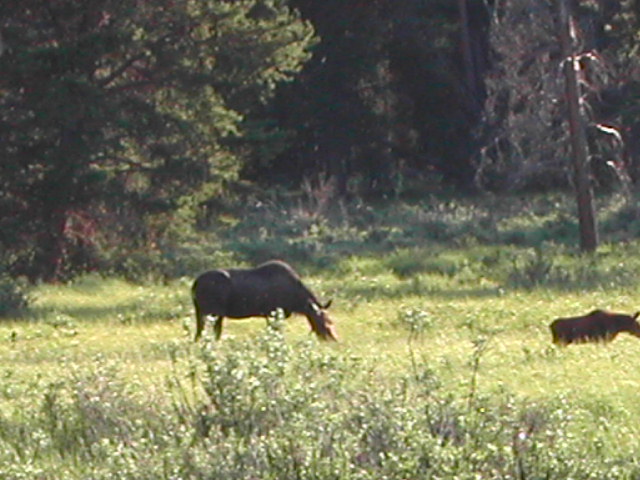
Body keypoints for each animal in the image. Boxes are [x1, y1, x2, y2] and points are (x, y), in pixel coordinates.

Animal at [191, 262, 338, 342]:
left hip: (201, 310)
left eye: (331, 321)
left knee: (200, 332)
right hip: (214, 311)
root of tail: (195, 284)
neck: (296, 302)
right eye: (324, 322)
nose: (333, 339)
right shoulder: (272, 313)